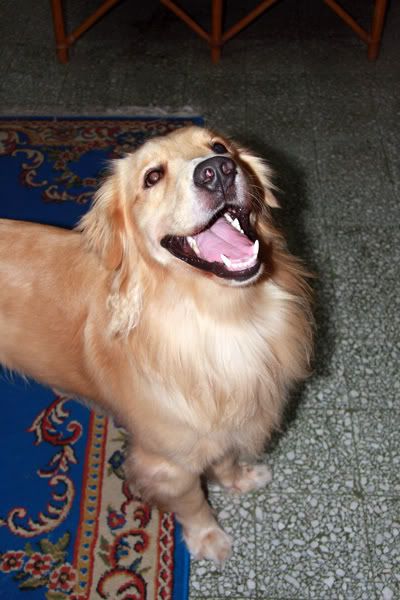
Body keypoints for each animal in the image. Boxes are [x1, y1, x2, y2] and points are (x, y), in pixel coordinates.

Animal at [0, 126, 313, 563]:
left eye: (219, 147)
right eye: (152, 177)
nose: (217, 170)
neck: (222, 317)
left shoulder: (226, 420)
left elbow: (226, 457)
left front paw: (238, 478)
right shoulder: (166, 464)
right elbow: (193, 503)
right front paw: (208, 537)